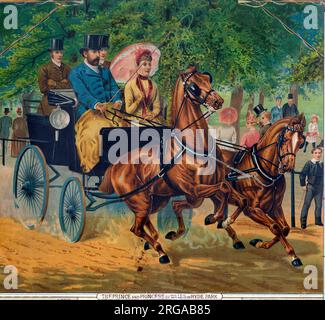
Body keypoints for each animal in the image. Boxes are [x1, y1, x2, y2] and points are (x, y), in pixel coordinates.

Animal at [98, 67, 246, 262]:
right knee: (136, 228)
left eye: (208, 79)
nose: (218, 100)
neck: (195, 147)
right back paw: (161, 252)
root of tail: (115, 166)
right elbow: (223, 190)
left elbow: (239, 198)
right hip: (139, 201)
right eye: (193, 86)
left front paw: (223, 222)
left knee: (146, 222)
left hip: (155, 200)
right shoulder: (194, 190)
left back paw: (155, 241)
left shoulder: (206, 189)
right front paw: (214, 218)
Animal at [205, 115, 306, 268]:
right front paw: (291, 255)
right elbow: (275, 227)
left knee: (221, 209)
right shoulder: (253, 210)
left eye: (300, 142)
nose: (288, 166)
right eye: (285, 139)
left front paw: (260, 243)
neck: (262, 169)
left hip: (217, 195)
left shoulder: (275, 207)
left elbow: (285, 229)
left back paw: (230, 232)